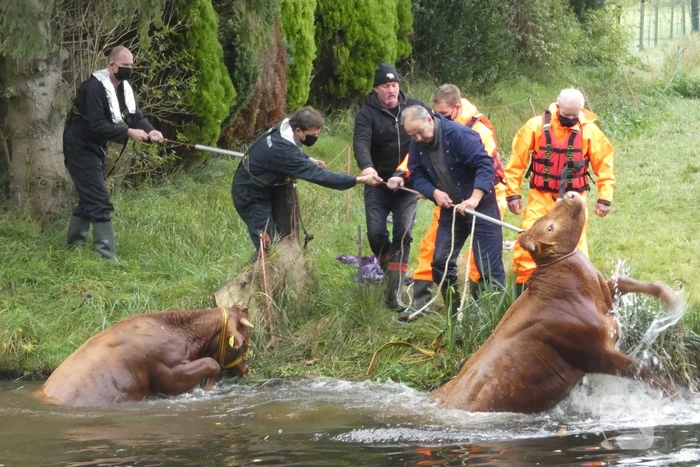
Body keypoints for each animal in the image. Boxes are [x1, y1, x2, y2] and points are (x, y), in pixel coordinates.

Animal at [430, 191, 681, 413]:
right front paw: (681, 395)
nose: (570, 194)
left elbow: (625, 282)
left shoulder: (607, 298)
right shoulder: (595, 353)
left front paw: (671, 297)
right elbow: (641, 370)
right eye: (550, 228)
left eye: (545, 220)